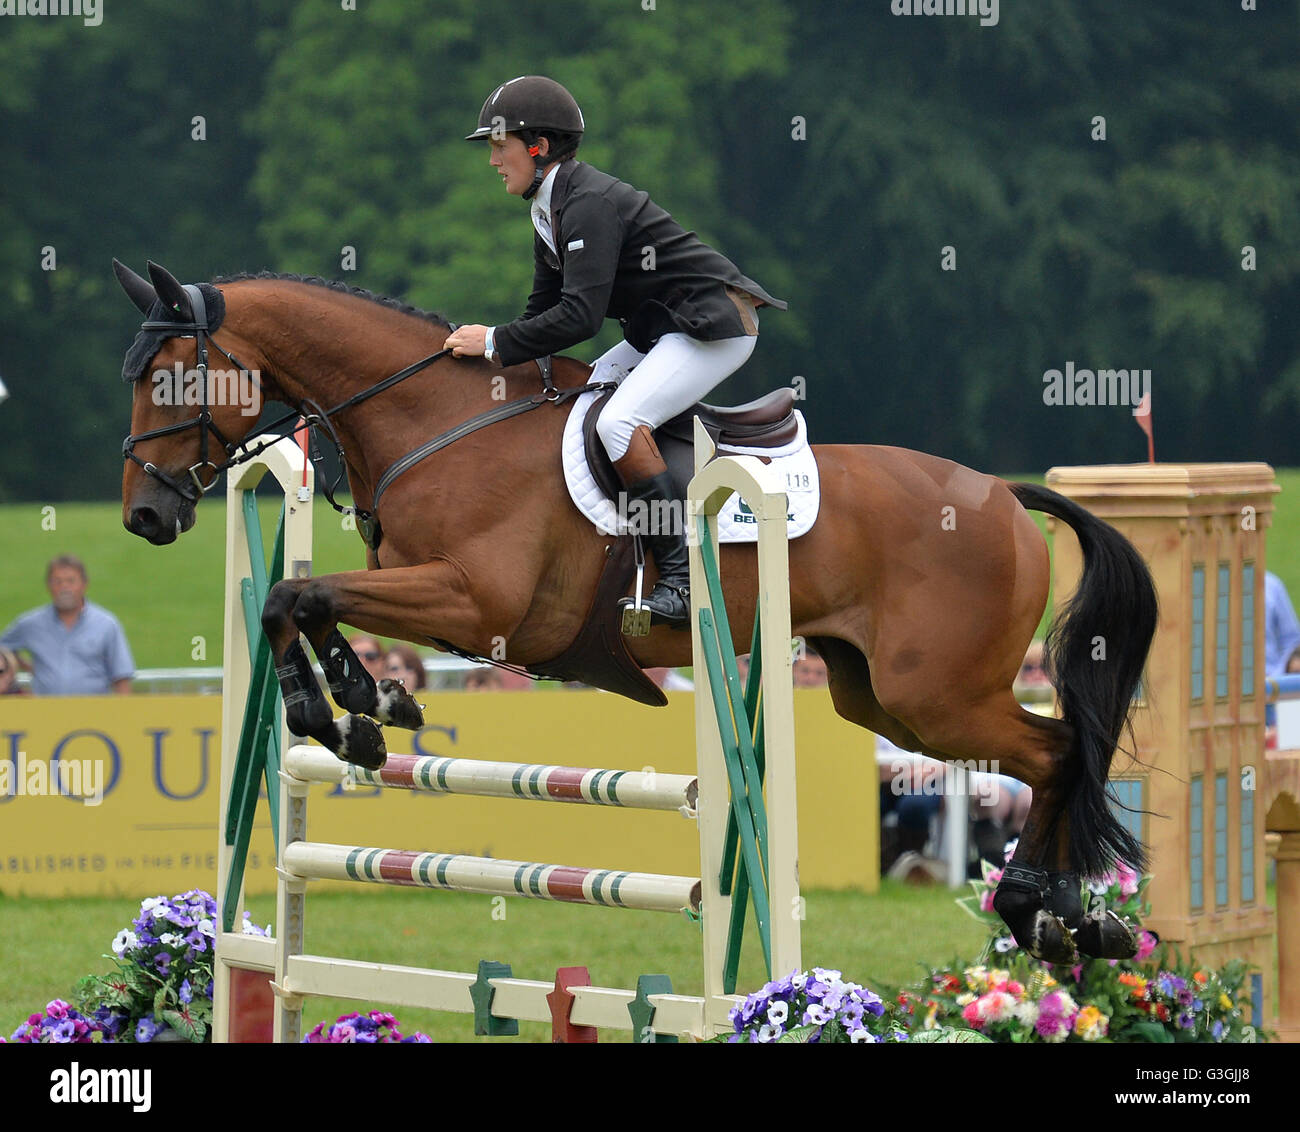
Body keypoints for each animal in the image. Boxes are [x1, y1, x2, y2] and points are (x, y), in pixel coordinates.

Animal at [115, 259, 1158, 965]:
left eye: (171, 377)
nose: (144, 517)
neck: (436, 422)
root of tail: (1001, 495)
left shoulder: (476, 602)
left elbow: (302, 594)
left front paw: (345, 713)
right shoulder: (432, 599)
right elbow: (300, 600)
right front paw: (363, 713)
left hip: (934, 694)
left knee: (1056, 751)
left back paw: (1040, 909)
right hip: (881, 700)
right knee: (1047, 752)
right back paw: (1069, 917)